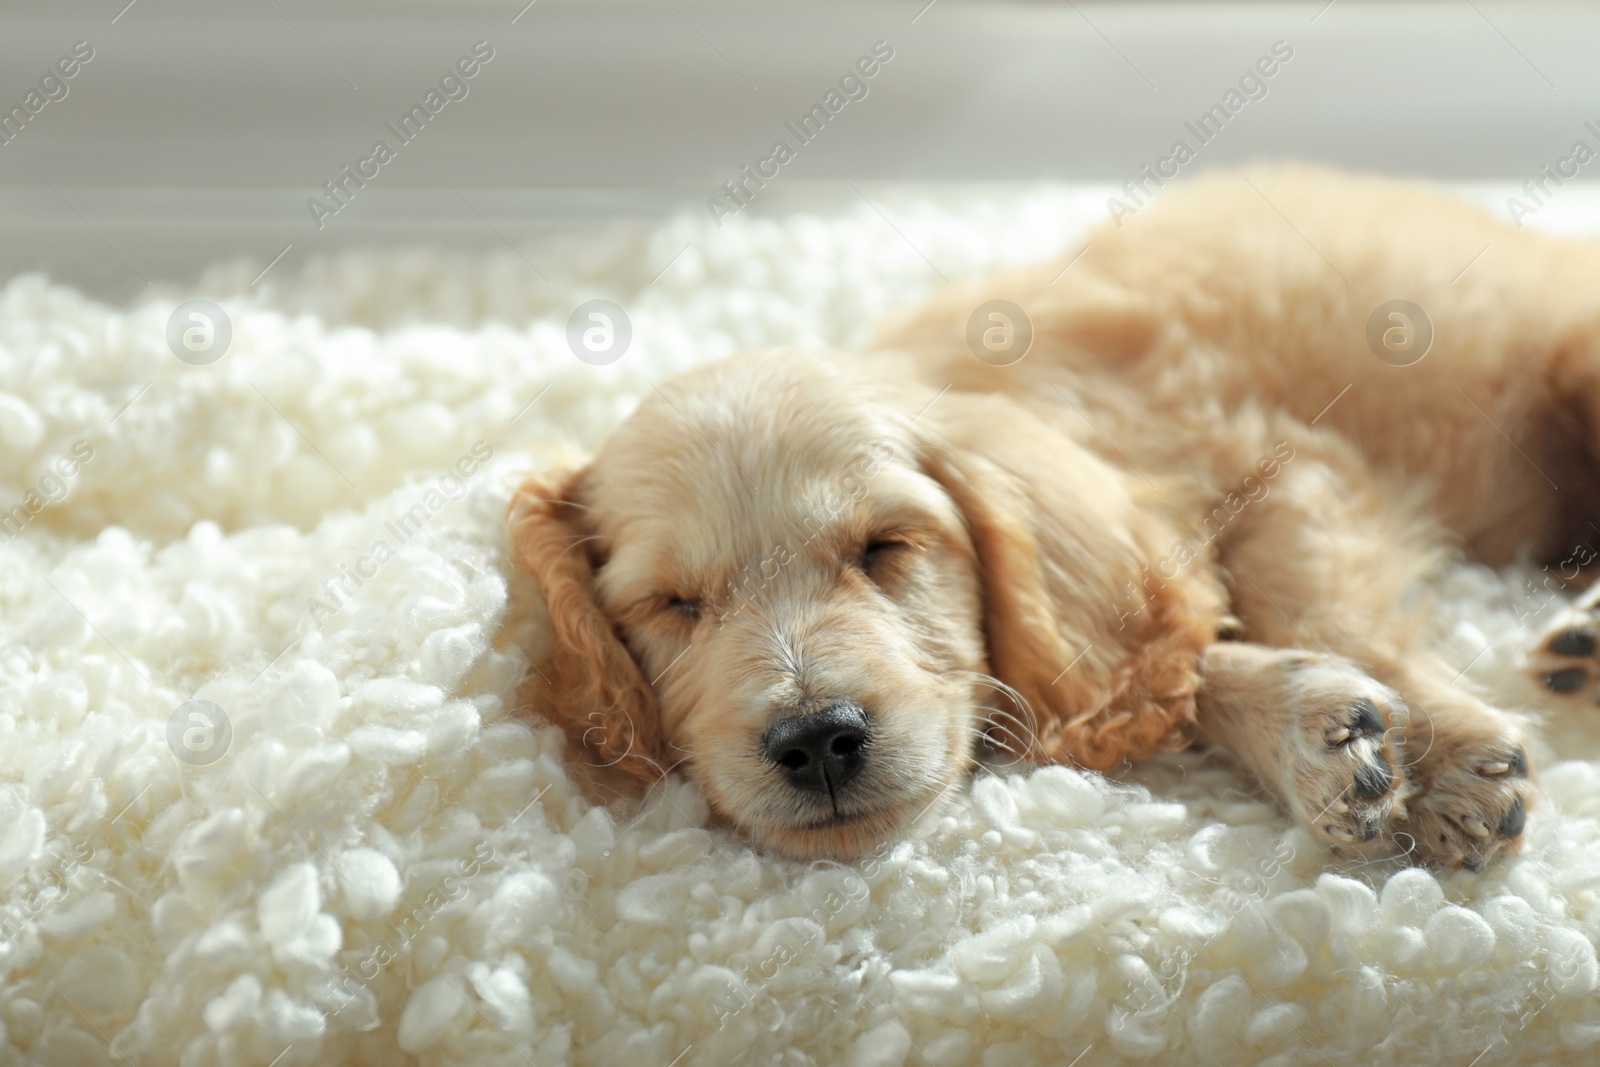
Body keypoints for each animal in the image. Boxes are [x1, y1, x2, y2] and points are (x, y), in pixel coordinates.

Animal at [502, 164, 1600, 870]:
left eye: (886, 547)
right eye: (672, 605)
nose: (817, 739)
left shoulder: (1280, 467)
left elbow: (1302, 604)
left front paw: (1448, 753)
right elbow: (1171, 661)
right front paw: (1311, 726)